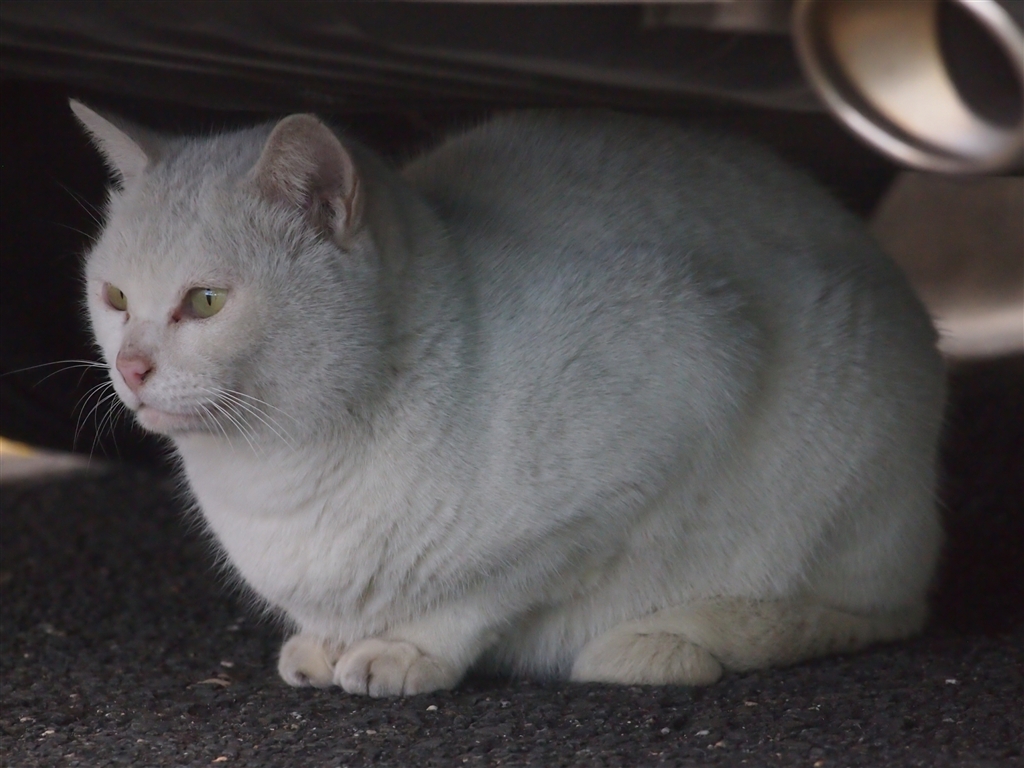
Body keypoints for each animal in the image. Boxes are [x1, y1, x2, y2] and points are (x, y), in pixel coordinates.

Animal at [72, 100, 946, 697]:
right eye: (114, 297)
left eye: (205, 302)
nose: (131, 366)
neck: (279, 476)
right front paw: (326, 641)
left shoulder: (673, 406)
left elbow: (484, 593)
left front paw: (406, 650)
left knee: (861, 617)